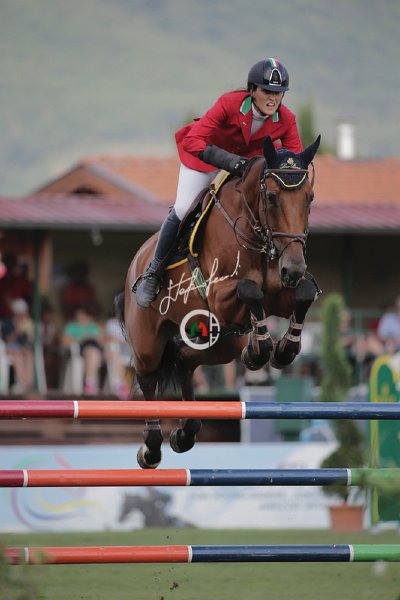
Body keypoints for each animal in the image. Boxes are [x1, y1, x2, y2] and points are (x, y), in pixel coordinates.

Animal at [117, 135, 321, 469]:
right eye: (272, 197)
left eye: (310, 198)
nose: (293, 268)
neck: (256, 235)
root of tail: (136, 260)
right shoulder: (220, 296)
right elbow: (251, 290)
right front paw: (261, 349)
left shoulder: (279, 296)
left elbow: (301, 294)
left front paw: (281, 350)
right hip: (148, 341)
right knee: (147, 377)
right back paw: (152, 447)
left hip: (222, 342)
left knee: (184, 359)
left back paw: (186, 431)